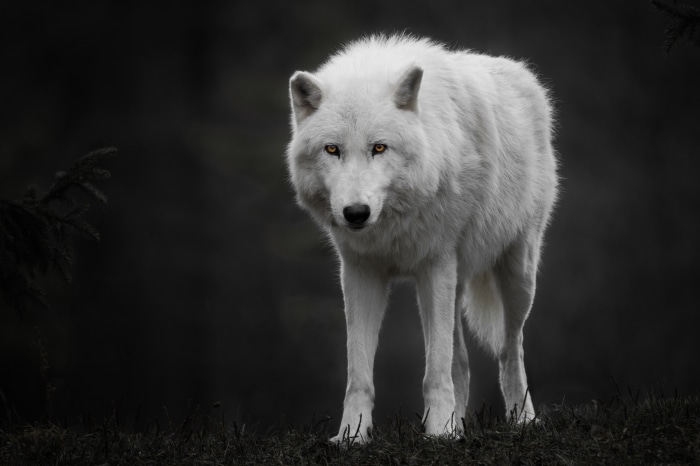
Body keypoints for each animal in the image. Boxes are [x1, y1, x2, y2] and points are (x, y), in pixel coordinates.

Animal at [285, 35, 558, 443]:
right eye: (332, 149)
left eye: (379, 147)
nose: (356, 213)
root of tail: (524, 73)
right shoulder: (360, 273)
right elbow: (359, 374)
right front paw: (352, 436)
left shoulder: (435, 266)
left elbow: (435, 372)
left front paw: (439, 434)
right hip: (458, 283)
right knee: (462, 363)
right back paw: (459, 424)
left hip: (516, 274)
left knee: (511, 349)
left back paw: (521, 420)